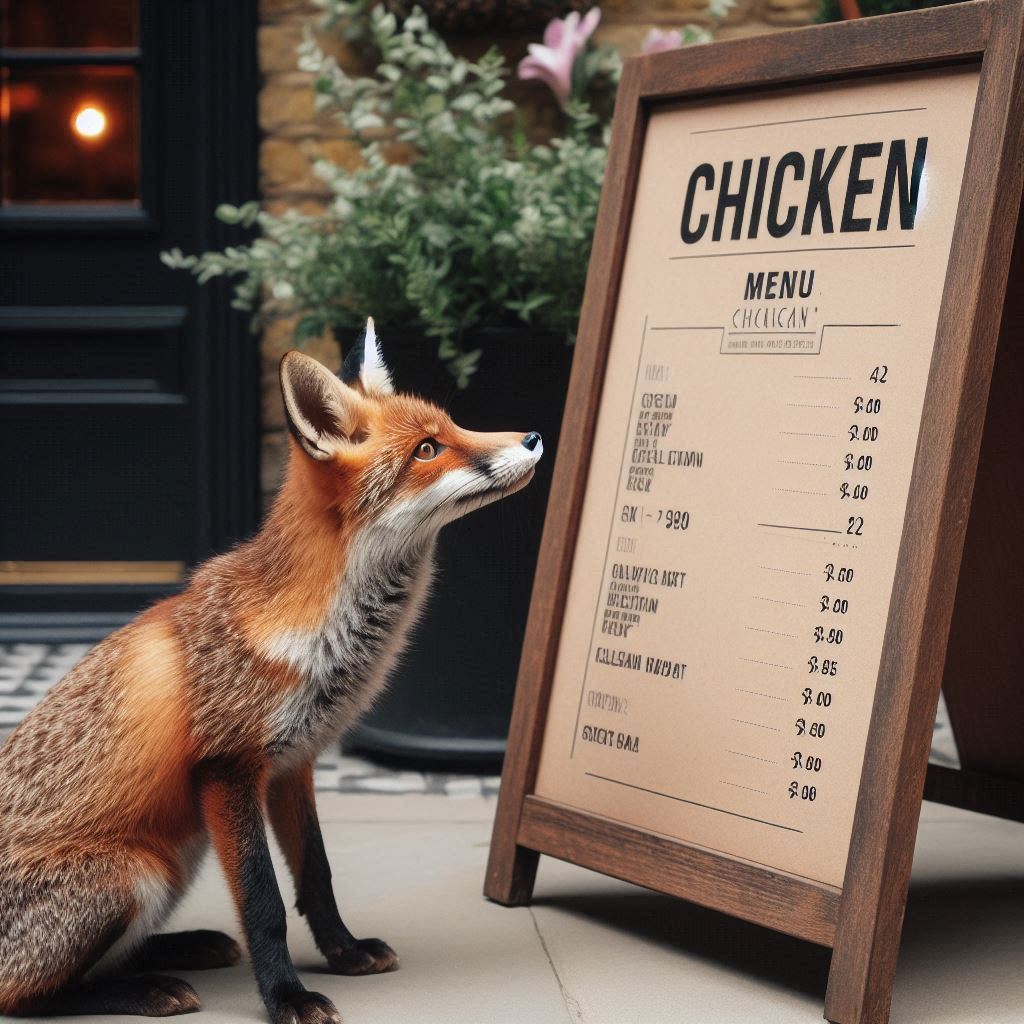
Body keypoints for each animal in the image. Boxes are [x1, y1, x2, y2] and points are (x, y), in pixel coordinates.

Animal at [0, 320, 543, 1023]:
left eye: (453, 424)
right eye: (428, 449)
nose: (532, 437)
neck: (323, 636)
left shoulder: (294, 762)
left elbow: (317, 876)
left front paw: (344, 954)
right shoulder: (227, 769)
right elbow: (265, 904)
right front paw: (286, 996)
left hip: (172, 863)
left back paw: (182, 947)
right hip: (135, 873)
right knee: (31, 994)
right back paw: (145, 987)